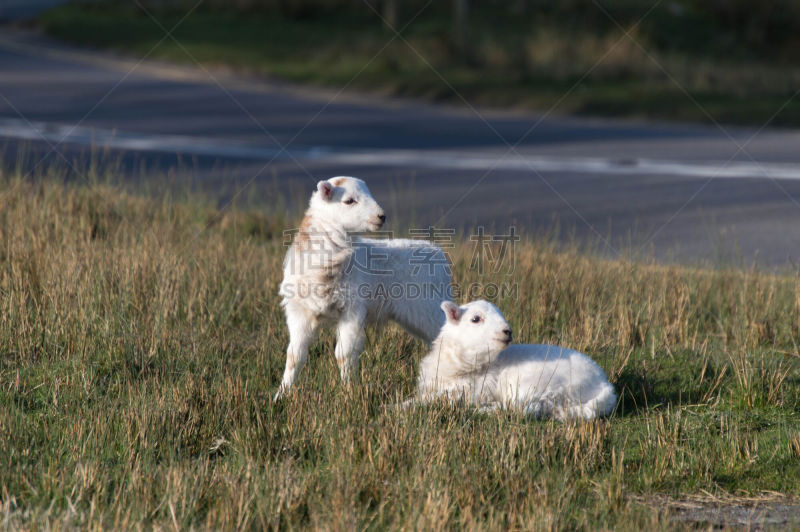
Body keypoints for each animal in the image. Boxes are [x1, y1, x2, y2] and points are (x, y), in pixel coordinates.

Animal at [276, 178, 450, 400]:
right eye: (349, 200)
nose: (381, 216)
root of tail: (438, 253)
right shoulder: (299, 313)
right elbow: (294, 356)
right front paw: (281, 395)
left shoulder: (352, 310)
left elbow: (344, 355)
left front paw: (348, 393)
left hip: (429, 308)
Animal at [406, 300, 620, 420]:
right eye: (475, 319)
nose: (507, 331)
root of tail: (604, 385)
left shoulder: (471, 390)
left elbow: (433, 398)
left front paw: (402, 406)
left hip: (538, 382)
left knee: (520, 408)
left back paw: (484, 411)